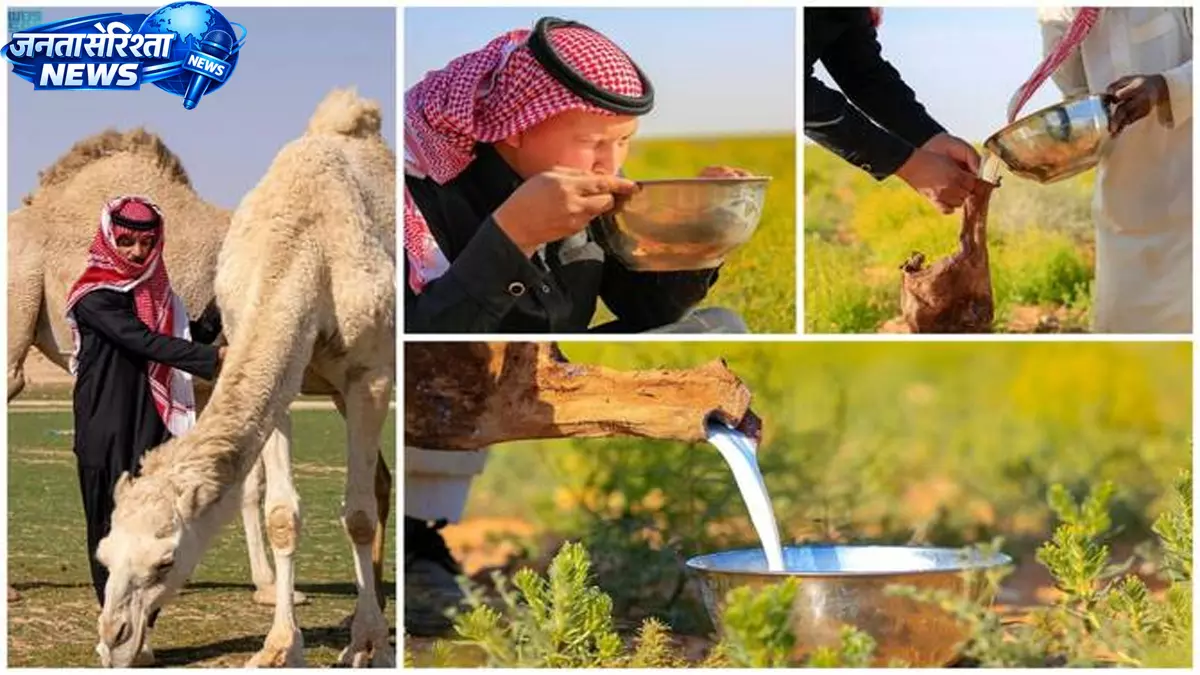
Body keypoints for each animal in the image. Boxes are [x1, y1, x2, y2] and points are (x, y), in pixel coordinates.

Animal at [93, 88, 395, 668]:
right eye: (105, 553)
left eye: (166, 561)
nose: (113, 640)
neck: (305, 248)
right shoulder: (285, 383)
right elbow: (281, 514)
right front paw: (280, 647)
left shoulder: (369, 376)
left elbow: (358, 515)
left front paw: (366, 643)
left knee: (377, 491)